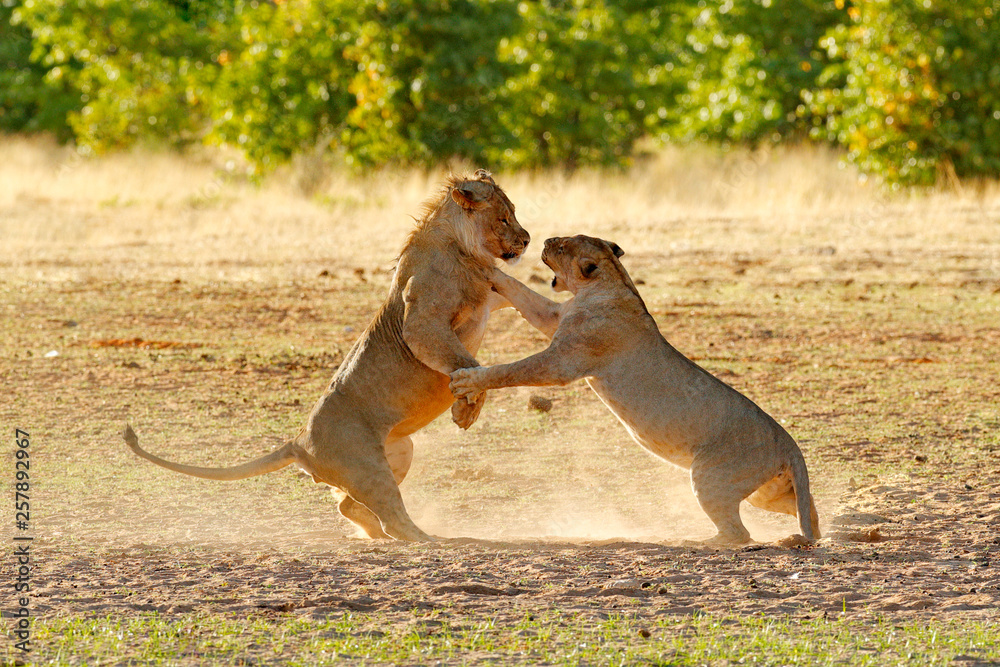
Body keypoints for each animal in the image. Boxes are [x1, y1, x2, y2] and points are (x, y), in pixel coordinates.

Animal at [124, 170, 529, 542]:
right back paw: (431, 539)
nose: (526, 240)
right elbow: (467, 363)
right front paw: (465, 411)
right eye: (503, 217)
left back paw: (376, 533)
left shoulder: (490, 298)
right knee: (391, 517)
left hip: (400, 451)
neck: (462, 248)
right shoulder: (421, 322)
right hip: (368, 466)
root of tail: (299, 440)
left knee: (348, 505)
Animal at [450, 235, 820, 544]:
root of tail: (789, 443)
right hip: (767, 492)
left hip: (711, 477)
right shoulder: (553, 317)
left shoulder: (562, 362)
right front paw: (488, 269)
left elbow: (510, 370)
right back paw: (809, 532)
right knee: (806, 513)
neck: (611, 283)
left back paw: (698, 541)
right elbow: (521, 292)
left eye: (562, 247)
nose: (545, 241)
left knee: (739, 534)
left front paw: (467, 379)